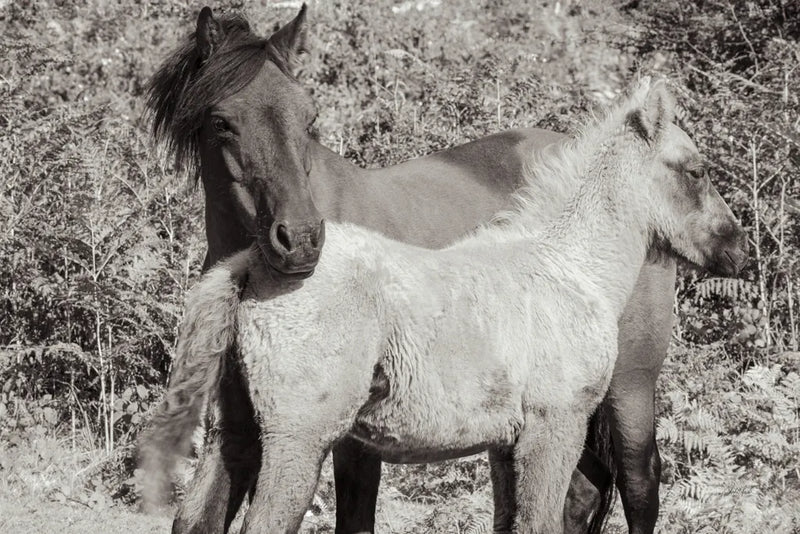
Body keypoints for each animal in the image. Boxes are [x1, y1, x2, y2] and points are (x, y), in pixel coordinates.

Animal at [143, 6, 713, 533]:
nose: (301, 240)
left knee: (639, 482)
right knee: (581, 491)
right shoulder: (241, 428)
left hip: (629, 386)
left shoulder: (354, 443)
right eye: (221, 122)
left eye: (309, 118)